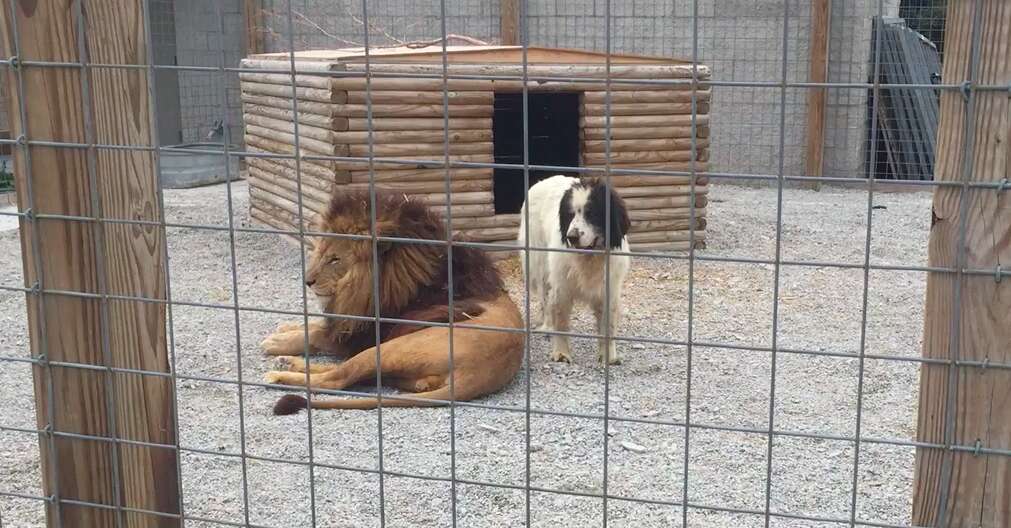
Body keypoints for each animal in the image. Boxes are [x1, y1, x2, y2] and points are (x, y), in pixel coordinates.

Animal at [260, 187, 525, 412]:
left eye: (335, 259)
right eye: (321, 253)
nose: (308, 281)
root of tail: (478, 375)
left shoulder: (364, 333)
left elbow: (316, 335)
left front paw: (276, 341)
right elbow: (318, 325)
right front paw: (285, 328)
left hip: (390, 347)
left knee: (336, 379)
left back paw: (279, 376)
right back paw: (287, 363)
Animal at [521, 174, 630, 364]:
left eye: (591, 213)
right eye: (570, 214)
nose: (571, 237)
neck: (589, 259)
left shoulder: (609, 290)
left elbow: (608, 325)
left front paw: (608, 356)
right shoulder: (561, 288)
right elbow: (561, 320)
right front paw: (561, 353)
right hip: (541, 266)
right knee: (545, 300)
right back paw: (547, 327)